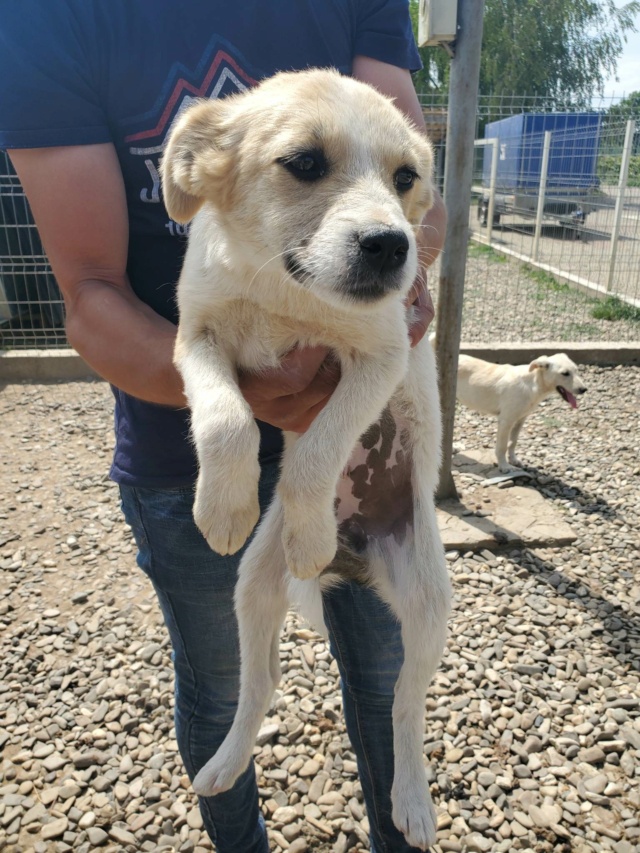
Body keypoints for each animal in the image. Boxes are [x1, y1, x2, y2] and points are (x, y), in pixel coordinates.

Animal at [160, 70, 450, 848]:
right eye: (305, 163)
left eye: (406, 177)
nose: (392, 245)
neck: (283, 289)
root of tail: (356, 563)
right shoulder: (195, 337)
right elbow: (226, 421)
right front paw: (222, 508)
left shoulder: (383, 354)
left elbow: (318, 450)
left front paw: (310, 529)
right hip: (253, 585)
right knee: (259, 685)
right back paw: (224, 762)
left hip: (428, 603)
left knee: (404, 705)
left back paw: (412, 800)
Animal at [458, 352, 588, 472]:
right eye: (565, 373)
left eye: (576, 371)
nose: (584, 390)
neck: (533, 384)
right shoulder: (506, 421)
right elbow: (502, 446)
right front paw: (504, 466)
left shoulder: (520, 419)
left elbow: (513, 442)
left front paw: (513, 460)